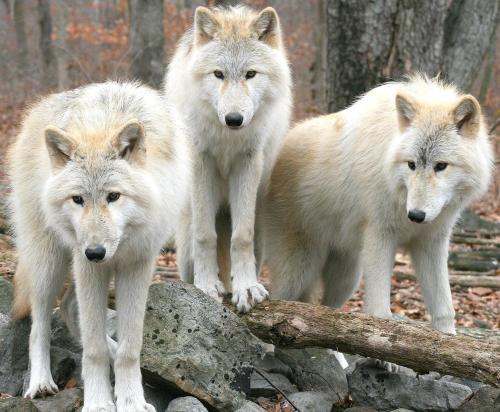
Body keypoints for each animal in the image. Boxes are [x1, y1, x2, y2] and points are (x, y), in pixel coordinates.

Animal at [9, 82, 189, 410]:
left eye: (113, 196)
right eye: (78, 199)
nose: (95, 252)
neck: (103, 124)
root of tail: (33, 114)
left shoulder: (137, 265)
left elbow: (131, 348)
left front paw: (131, 401)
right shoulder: (87, 266)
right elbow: (93, 351)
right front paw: (99, 402)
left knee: (70, 308)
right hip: (50, 263)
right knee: (40, 324)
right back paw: (40, 382)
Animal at [166, 4, 292, 312]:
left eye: (250, 74)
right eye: (218, 74)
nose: (234, 119)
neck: (227, 137)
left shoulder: (248, 162)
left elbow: (241, 237)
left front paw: (246, 288)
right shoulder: (201, 161)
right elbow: (205, 235)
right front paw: (206, 286)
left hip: (259, 227)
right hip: (184, 244)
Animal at [266, 75, 492, 336]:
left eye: (441, 166)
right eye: (411, 165)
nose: (416, 215)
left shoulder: (431, 242)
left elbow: (444, 308)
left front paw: (448, 339)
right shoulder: (380, 235)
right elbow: (378, 311)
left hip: (347, 277)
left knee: (326, 309)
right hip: (298, 270)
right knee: (278, 299)